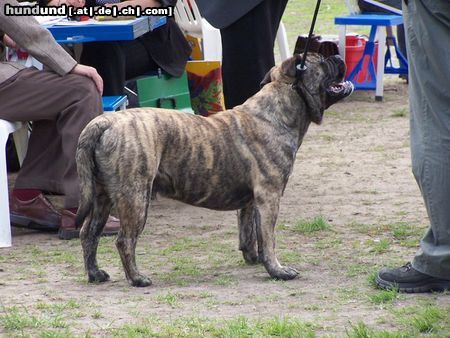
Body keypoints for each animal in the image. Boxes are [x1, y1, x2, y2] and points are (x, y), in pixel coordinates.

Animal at [75, 53, 354, 288]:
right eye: (322, 61)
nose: (338, 55)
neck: (278, 110)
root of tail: (104, 121)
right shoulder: (270, 197)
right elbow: (268, 238)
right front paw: (277, 270)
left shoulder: (252, 201)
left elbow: (248, 232)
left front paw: (253, 258)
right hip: (135, 197)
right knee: (124, 240)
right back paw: (137, 278)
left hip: (102, 197)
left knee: (89, 233)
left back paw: (95, 274)